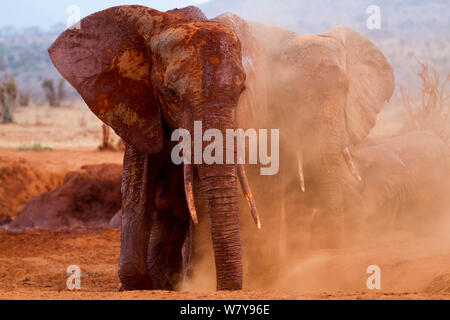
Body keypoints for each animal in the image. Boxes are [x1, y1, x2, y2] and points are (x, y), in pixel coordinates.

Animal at [49, 4, 394, 290]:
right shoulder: (138, 102)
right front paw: (141, 284)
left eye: (241, 91)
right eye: (170, 92)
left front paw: (193, 283)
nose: (225, 286)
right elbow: (140, 184)